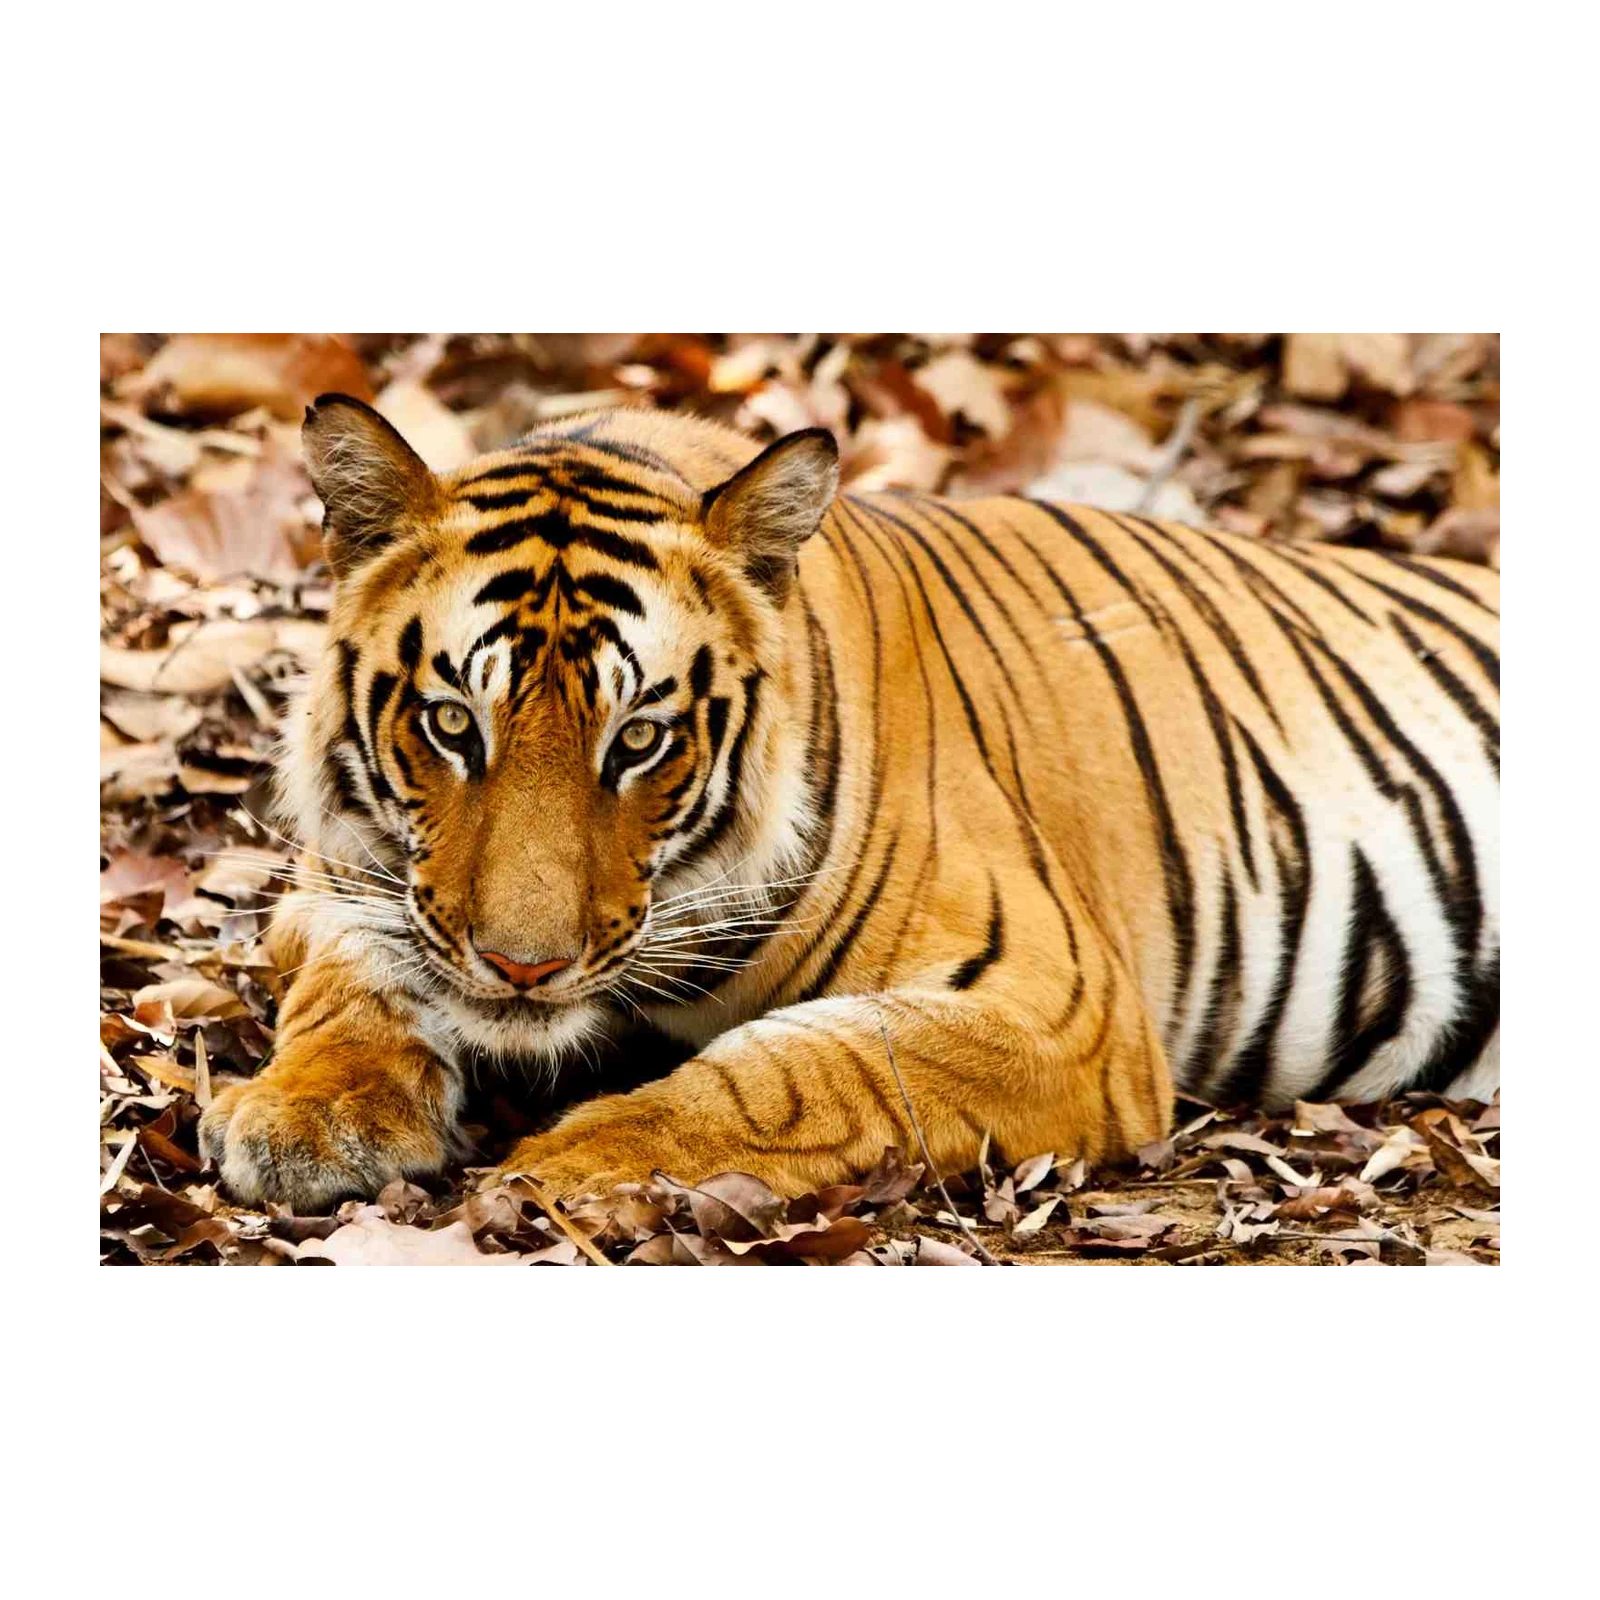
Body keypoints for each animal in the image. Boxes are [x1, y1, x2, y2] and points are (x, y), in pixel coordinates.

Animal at [197, 393, 1504, 1211]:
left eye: (639, 739)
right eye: (453, 724)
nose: (524, 969)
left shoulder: (1061, 1004)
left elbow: (807, 1064)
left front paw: (582, 1157)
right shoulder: (337, 881)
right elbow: (348, 979)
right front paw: (304, 1115)